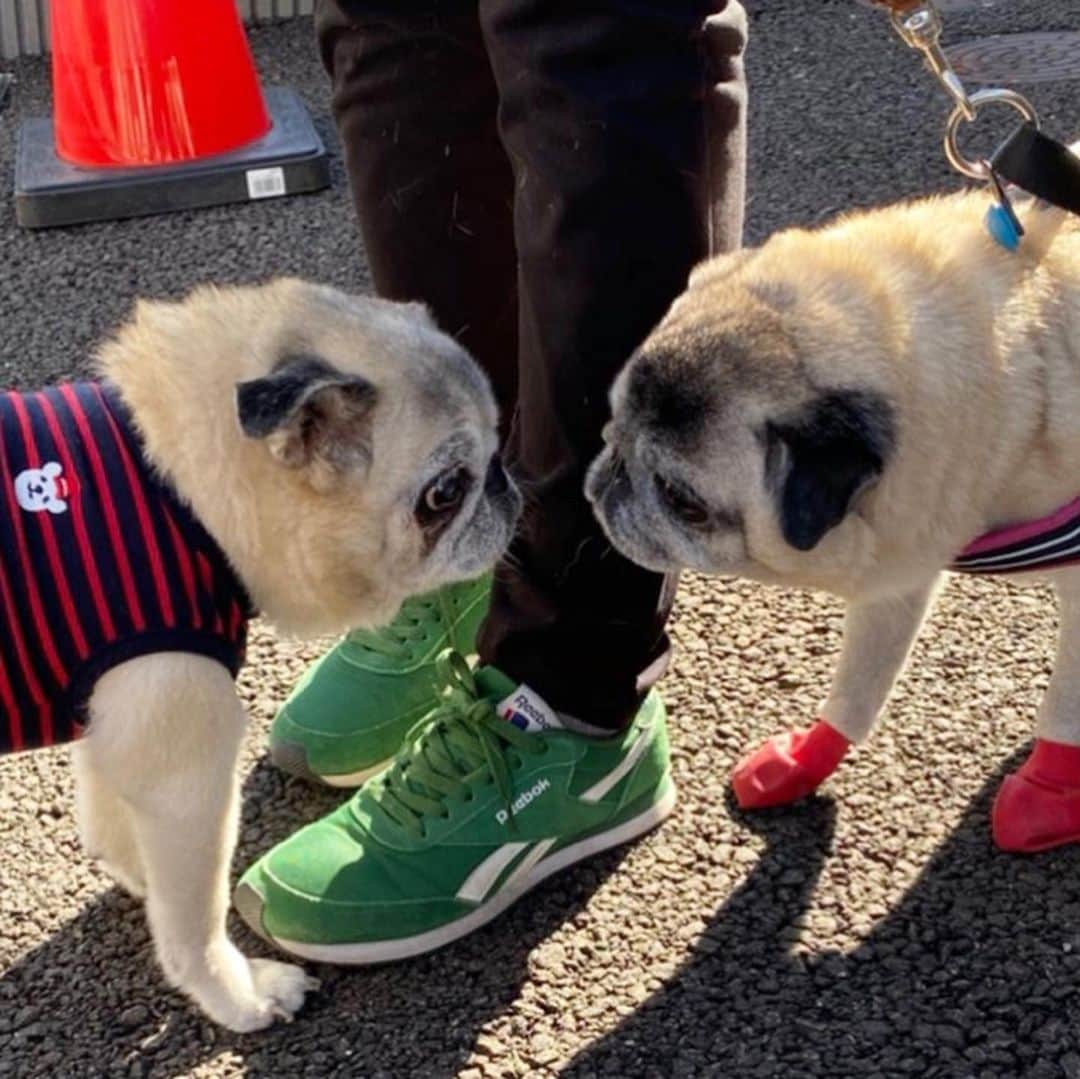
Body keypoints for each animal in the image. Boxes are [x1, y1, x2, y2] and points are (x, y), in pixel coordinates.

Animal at [0, 278, 522, 1028]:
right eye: (445, 493)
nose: (506, 481)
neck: (178, 493)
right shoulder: (187, 776)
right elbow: (195, 920)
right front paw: (237, 993)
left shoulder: (116, 722)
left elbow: (113, 818)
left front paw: (136, 875)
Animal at [587, 170, 1080, 851]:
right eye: (611, 427)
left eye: (683, 502)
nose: (607, 483)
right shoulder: (898, 575)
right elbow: (857, 691)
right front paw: (805, 760)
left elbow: (1064, 705)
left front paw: (1050, 790)